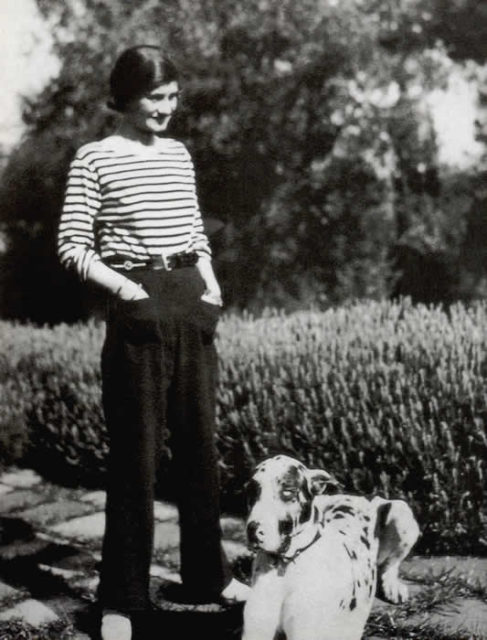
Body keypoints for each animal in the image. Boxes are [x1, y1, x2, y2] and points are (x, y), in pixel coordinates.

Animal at [243, 456, 420, 640]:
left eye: (288, 491)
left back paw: (393, 586)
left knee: (390, 565)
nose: (253, 529)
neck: (287, 564)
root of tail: (356, 494)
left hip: (401, 511)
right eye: (250, 491)